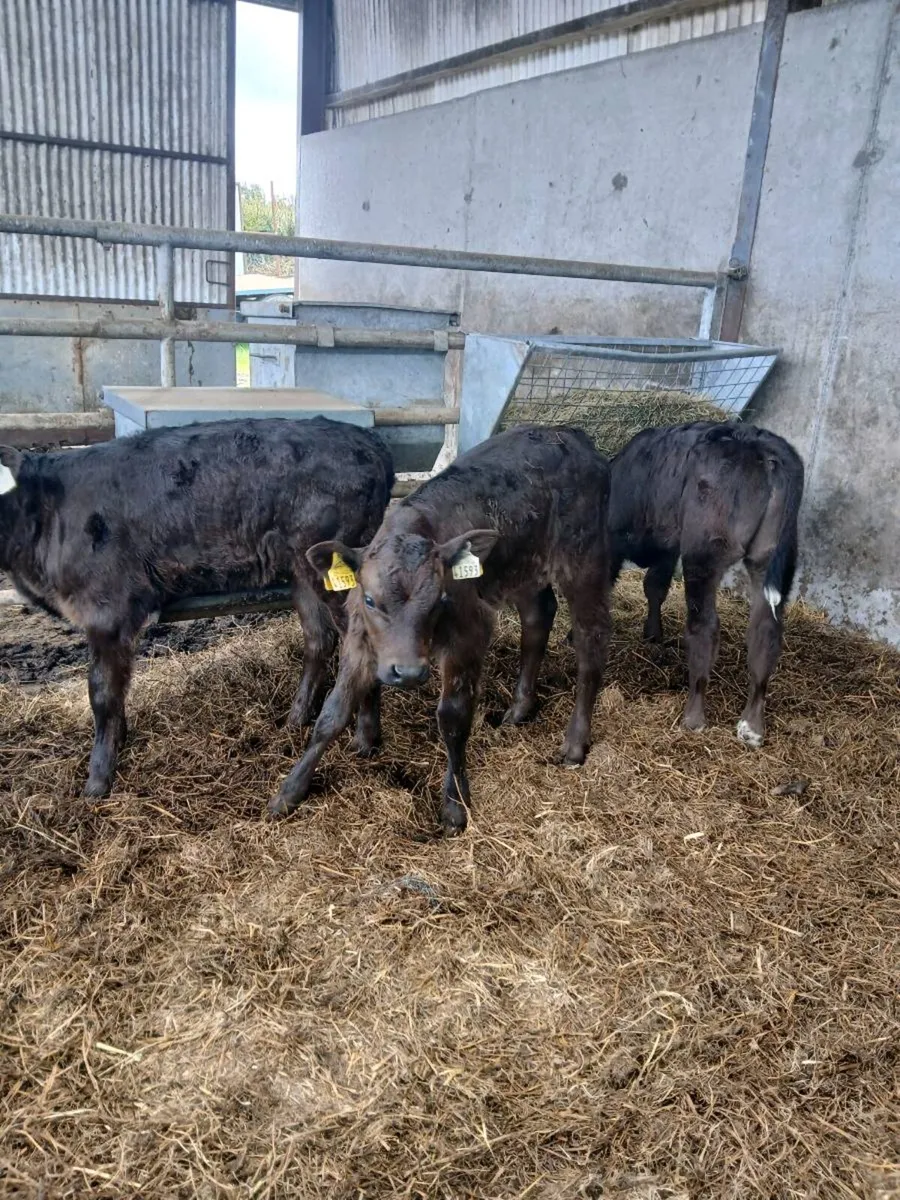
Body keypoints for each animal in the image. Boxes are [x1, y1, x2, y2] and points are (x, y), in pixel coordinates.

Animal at [0, 416, 394, 798]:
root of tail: (365, 439)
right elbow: (116, 688)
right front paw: (117, 740)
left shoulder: (107, 612)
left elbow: (101, 692)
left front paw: (98, 780)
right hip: (301, 569)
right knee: (318, 639)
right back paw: (295, 719)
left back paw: (365, 739)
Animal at [268, 424, 612, 835]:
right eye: (369, 599)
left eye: (440, 599)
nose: (407, 672)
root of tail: (568, 434)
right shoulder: (359, 639)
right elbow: (332, 713)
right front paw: (290, 790)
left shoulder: (468, 637)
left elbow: (453, 717)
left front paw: (454, 804)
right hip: (525, 568)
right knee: (537, 618)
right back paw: (519, 709)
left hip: (585, 560)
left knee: (591, 641)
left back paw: (575, 743)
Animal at [607, 420, 804, 747]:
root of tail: (761, 445)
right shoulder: (668, 546)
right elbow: (655, 587)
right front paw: (653, 634)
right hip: (770, 555)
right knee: (766, 629)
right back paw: (752, 725)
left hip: (704, 550)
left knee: (704, 627)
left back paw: (694, 717)